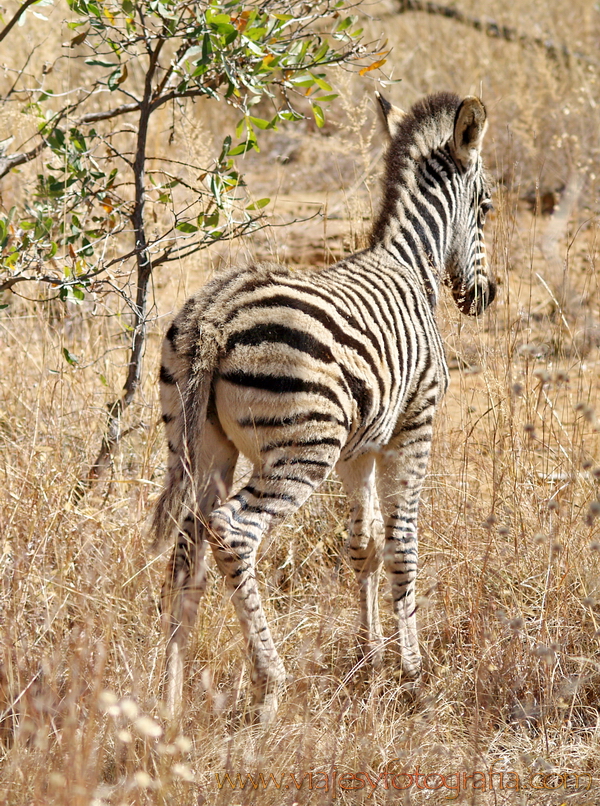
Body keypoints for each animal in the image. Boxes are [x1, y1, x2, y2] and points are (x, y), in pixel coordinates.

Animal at [152, 91, 494, 724]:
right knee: (233, 533)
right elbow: (403, 544)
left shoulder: (363, 446)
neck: (411, 264)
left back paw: (169, 696)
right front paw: (412, 673)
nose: (486, 297)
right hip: (302, 449)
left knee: (189, 550)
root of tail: (215, 317)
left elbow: (365, 545)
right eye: (486, 207)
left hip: (201, 446)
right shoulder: (415, 424)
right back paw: (270, 687)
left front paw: (371, 656)